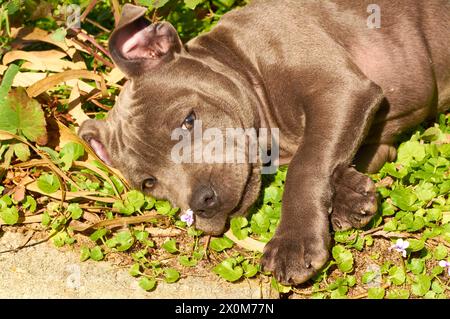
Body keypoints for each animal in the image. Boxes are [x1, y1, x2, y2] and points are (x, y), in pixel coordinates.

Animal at [78, 0, 450, 284]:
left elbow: (306, 165)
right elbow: (327, 155)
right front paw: (350, 196)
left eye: (188, 120)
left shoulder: (339, 89)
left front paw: (294, 243)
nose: (201, 202)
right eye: (149, 183)